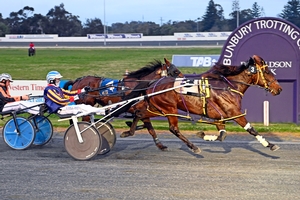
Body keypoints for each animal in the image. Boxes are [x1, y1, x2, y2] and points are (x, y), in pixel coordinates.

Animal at [127, 54, 282, 153]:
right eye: (267, 72)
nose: (279, 89)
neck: (228, 87)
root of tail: (153, 83)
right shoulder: (234, 113)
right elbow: (251, 129)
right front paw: (270, 145)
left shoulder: (219, 117)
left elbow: (222, 135)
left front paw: (202, 135)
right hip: (169, 108)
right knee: (173, 128)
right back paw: (193, 147)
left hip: (157, 108)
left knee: (139, 113)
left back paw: (129, 131)